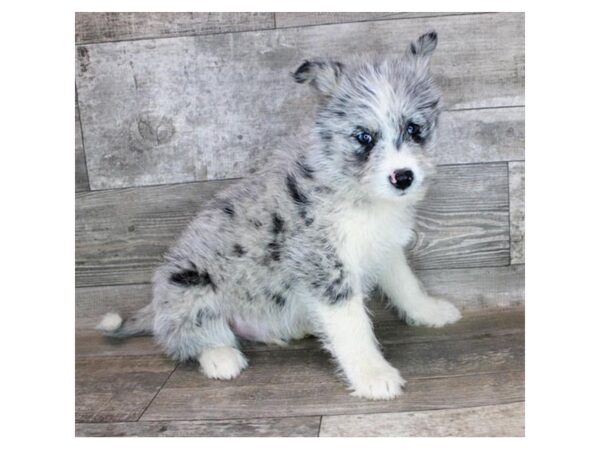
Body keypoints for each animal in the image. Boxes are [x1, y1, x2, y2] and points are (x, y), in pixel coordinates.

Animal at [99, 29, 464, 400]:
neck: (360, 195)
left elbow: (406, 285)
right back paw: (220, 356)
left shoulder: (385, 248)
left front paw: (429, 311)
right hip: (189, 288)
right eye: (364, 137)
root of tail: (156, 307)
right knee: (184, 337)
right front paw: (372, 374)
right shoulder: (325, 267)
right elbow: (353, 327)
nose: (403, 177)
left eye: (414, 129)